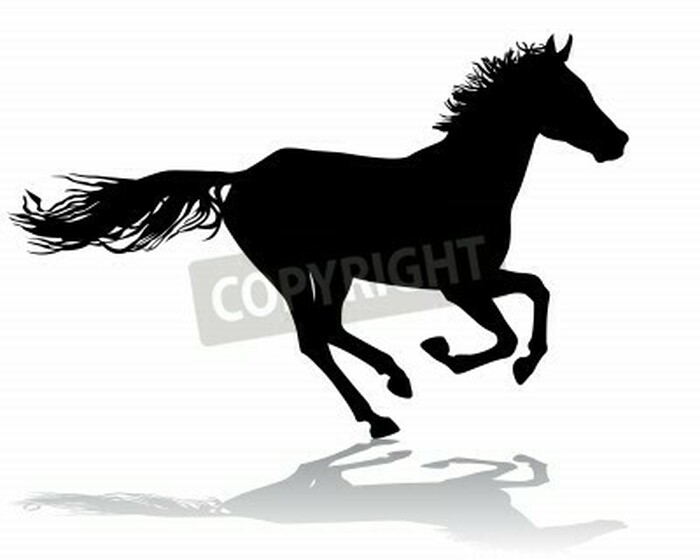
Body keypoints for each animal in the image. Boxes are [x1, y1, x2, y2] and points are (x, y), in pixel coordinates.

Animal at [12, 35, 629, 439]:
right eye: (569, 94)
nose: (618, 141)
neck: (465, 179)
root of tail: (241, 176)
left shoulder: (479, 277)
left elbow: (537, 288)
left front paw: (520, 364)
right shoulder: (460, 284)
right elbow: (503, 333)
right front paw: (446, 353)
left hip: (330, 271)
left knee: (325, 330)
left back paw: (391, 385)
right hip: (291, 270)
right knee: (314, 337)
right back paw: (383, 408)